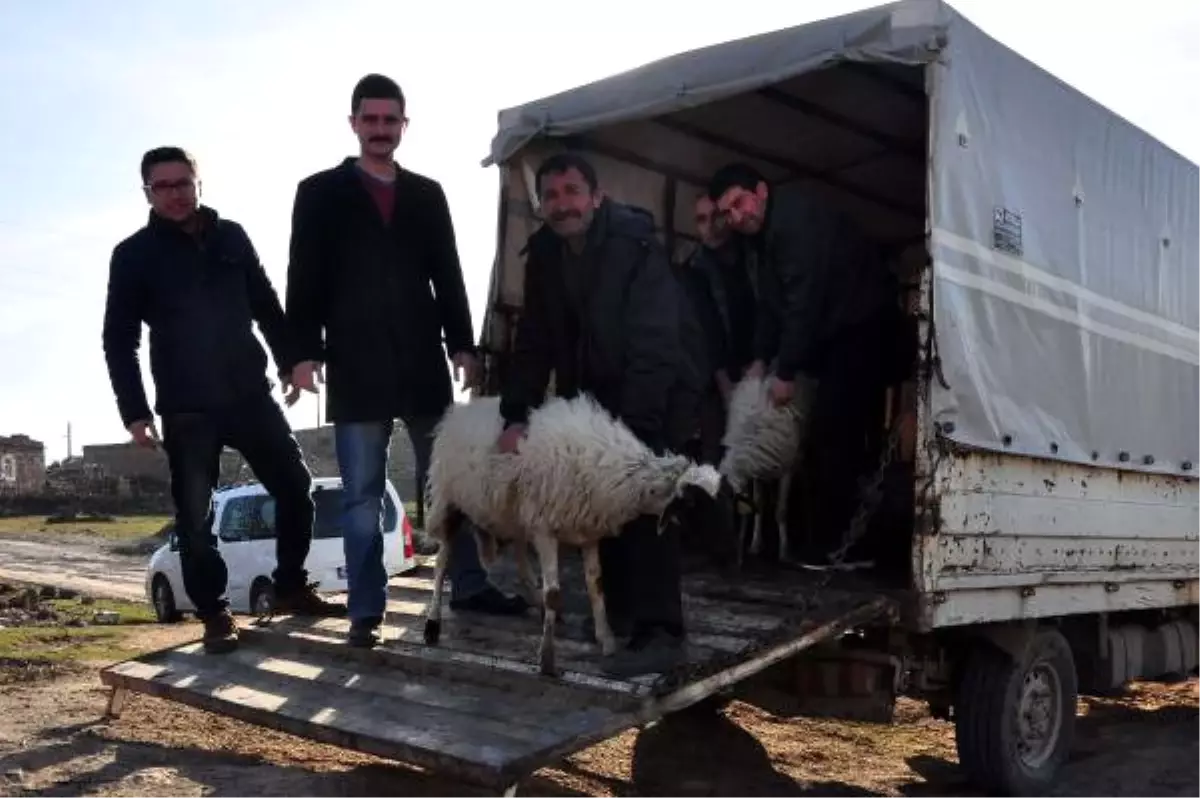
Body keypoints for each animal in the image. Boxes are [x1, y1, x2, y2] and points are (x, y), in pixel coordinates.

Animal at [422, 391, 739, 672]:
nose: (730, 556)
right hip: (450, 501)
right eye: (694, 504)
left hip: (516, 515)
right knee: (441, 564)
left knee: (522, 561)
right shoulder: (545, 529)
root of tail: (461, 409)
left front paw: (606, 641)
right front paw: (548, 660)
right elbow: (554, 592)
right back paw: (432, 625)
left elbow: (596, 585)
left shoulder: (586, 531)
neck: (616, 473)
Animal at [715, 372, 820, 564]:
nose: (736, 560)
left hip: (801, 453)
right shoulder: (758, 471)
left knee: (806, 485)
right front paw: (756, 544)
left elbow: (782, 510)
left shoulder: (787, 470)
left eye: (728, 508)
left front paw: (785, 552)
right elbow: (759, 504)